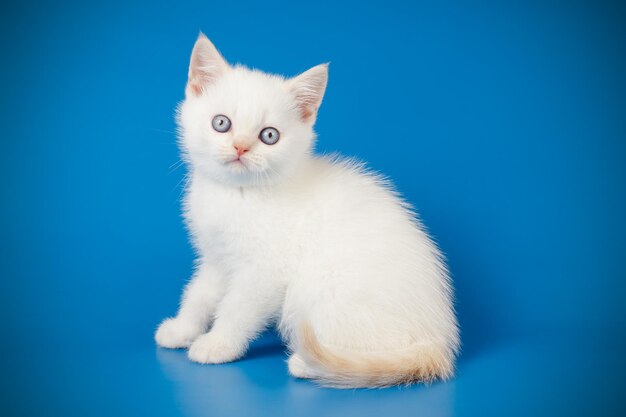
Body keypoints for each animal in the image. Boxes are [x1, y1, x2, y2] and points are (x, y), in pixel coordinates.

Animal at [156, 33, 458, 386]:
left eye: (269, 135)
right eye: (221, 123)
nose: (240, 147)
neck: (238, 194)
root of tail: (437, 341)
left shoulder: (264, 272)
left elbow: (237, 309)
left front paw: (217, 344)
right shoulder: (216, 257)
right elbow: (199, 294)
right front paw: (182, 329)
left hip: (321, 290)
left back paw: (308, 364)